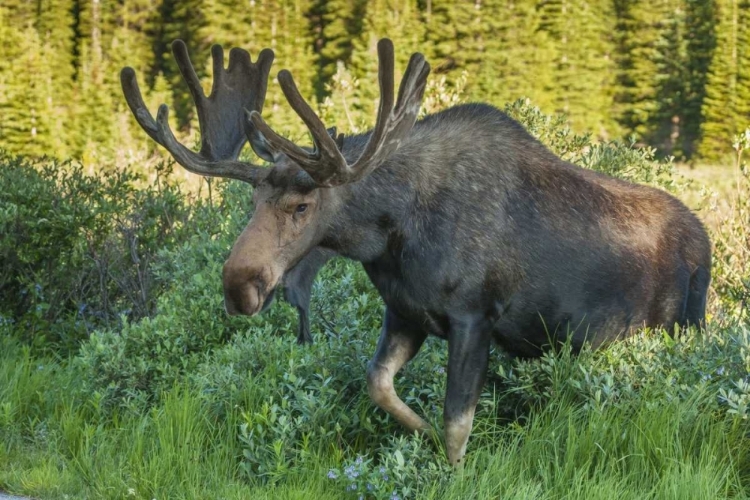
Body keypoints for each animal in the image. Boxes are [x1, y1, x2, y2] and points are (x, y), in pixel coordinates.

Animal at [120, 39, 712, 464]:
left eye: (302, 206)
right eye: (252, 200)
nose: (238, 286)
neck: (391, 235)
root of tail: (707, 243)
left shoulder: (475, 316)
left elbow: (457, 424)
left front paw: (454, 466)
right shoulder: (405, 312)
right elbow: (378, 384)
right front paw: (420, 432)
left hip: (681, 327)